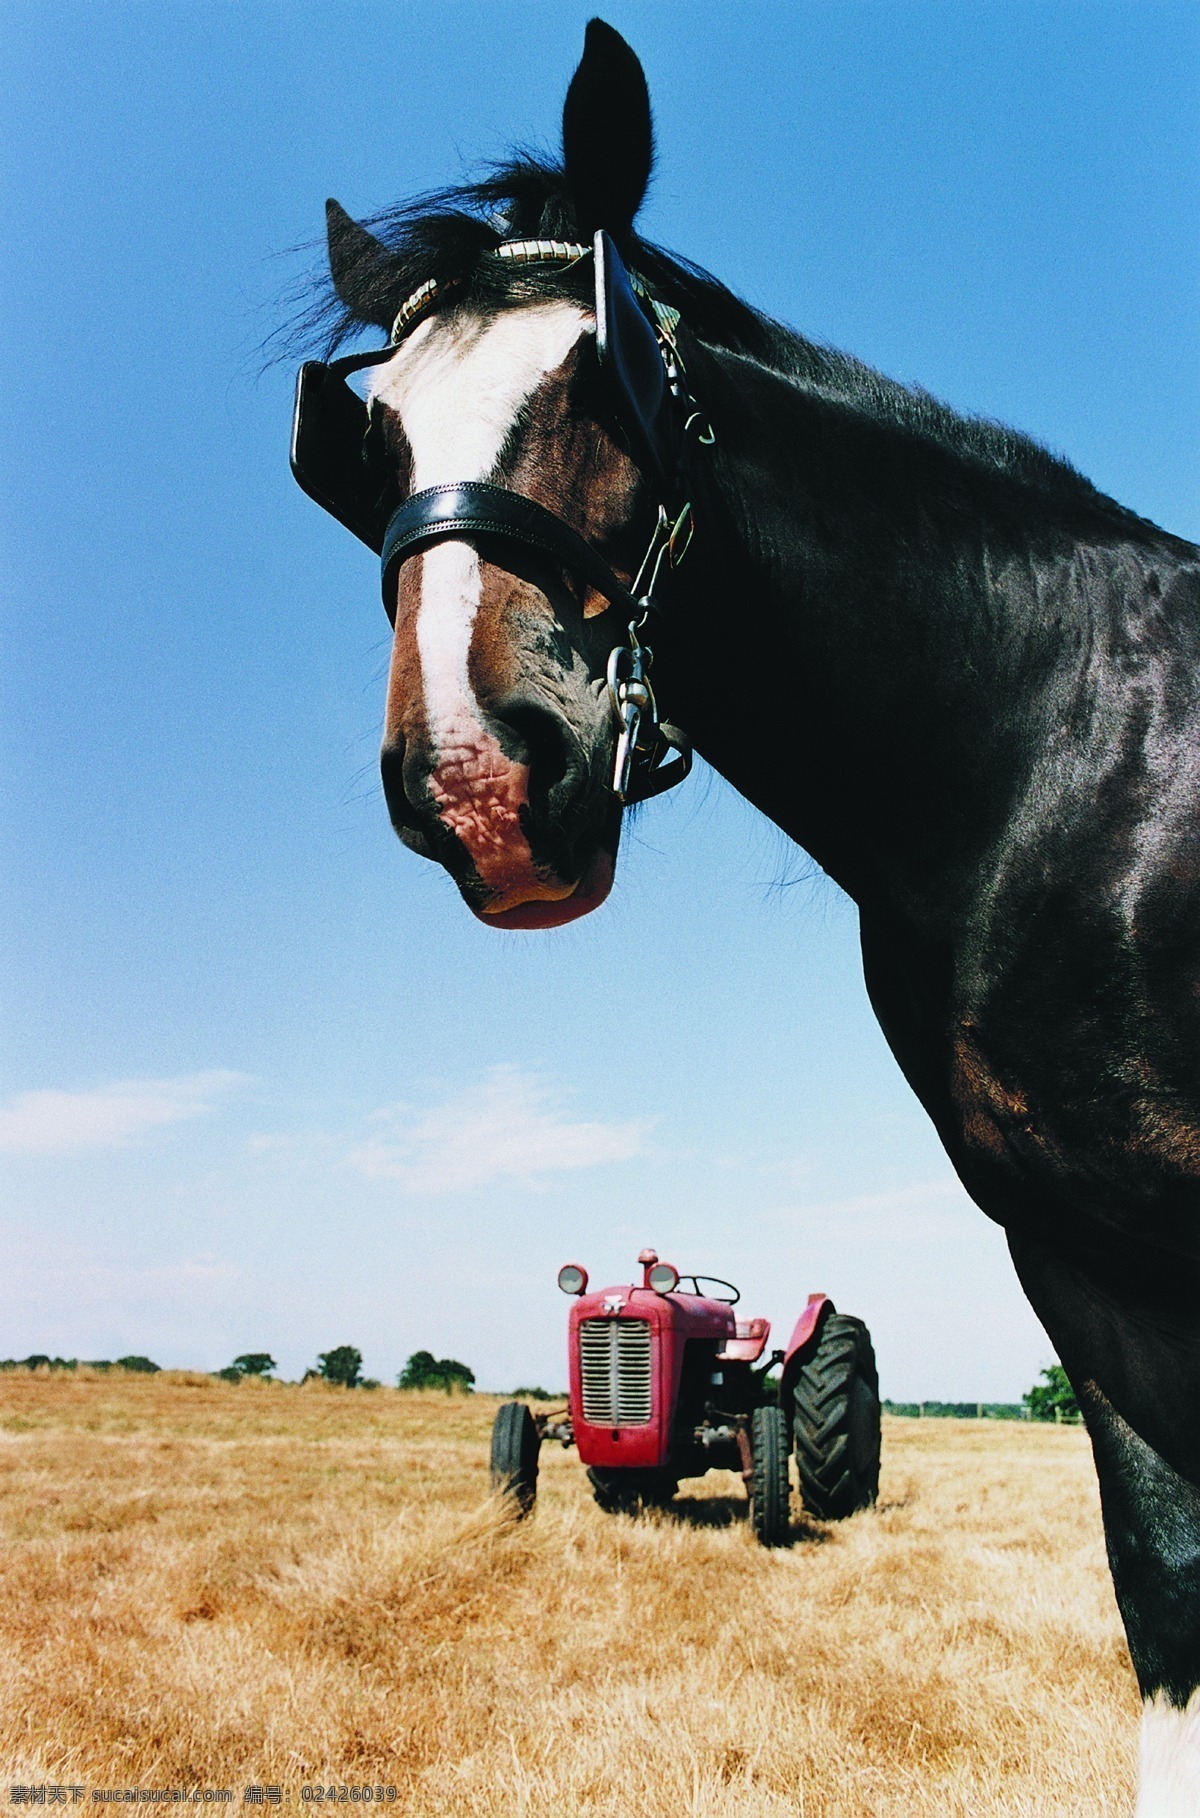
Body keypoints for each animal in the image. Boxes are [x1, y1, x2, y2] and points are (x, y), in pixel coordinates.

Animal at [290, 21, 1200, 1810]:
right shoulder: (1092, 1268)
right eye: (369, 439)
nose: (475, 778)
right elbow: (1169, 1601)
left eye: (612, 373)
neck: (1058, 742)